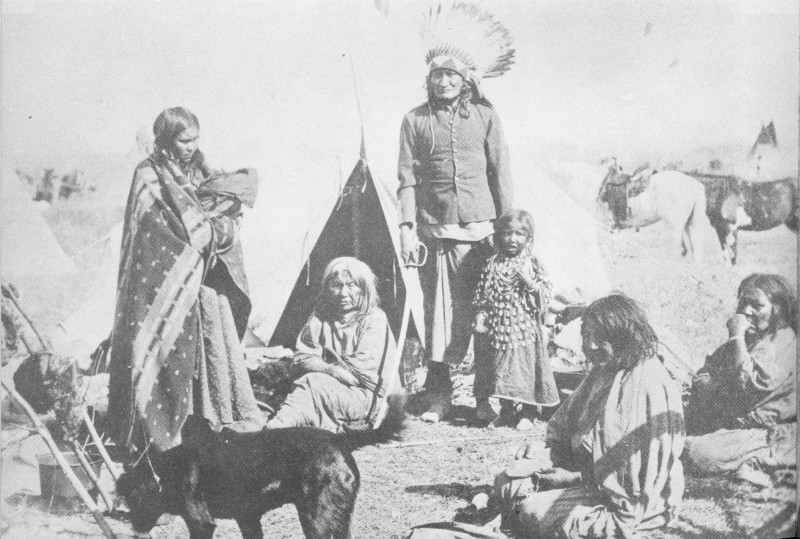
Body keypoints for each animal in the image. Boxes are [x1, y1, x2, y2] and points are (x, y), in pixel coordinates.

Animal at [116, 393, 405, 539]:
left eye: (132, 499)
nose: (134, 529)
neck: (165, 472)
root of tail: (340, 438)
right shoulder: (248, 518)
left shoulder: (201, 522)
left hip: (318, 518)